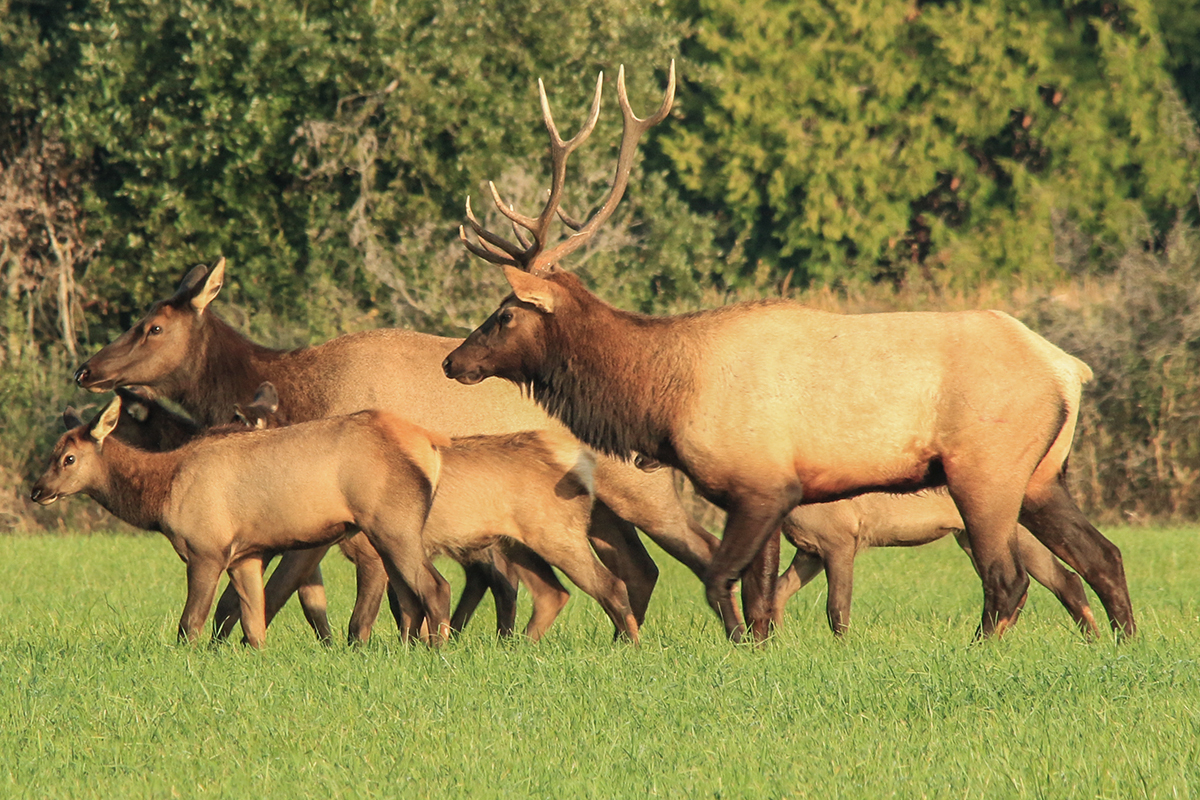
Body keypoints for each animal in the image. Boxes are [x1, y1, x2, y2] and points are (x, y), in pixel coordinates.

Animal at [29, 398, 451, 647]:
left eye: (68, 458)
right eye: (52, 453)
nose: (37, 490)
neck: (161, 495)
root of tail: (432, 445)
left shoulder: (206, 550)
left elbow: (190, 623)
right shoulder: (245, 556)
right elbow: (253, 625)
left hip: (392, 524)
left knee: (435, 586)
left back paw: (438, 651)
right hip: (387, 531)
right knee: (409, 596)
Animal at [441, 61, 1132, 642]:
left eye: (504, 314)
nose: (453, 362)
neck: (665, 395)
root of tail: (1069, 368)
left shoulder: (761, 484)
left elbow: (722, 584)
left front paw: (739, 645)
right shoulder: (765, 492)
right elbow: (760, 595)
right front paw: (761, 647)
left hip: (985, 467)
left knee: (1008, 579)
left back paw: (980, 651)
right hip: (1042, 473)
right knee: (1105, 555)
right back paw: (1123, 644)